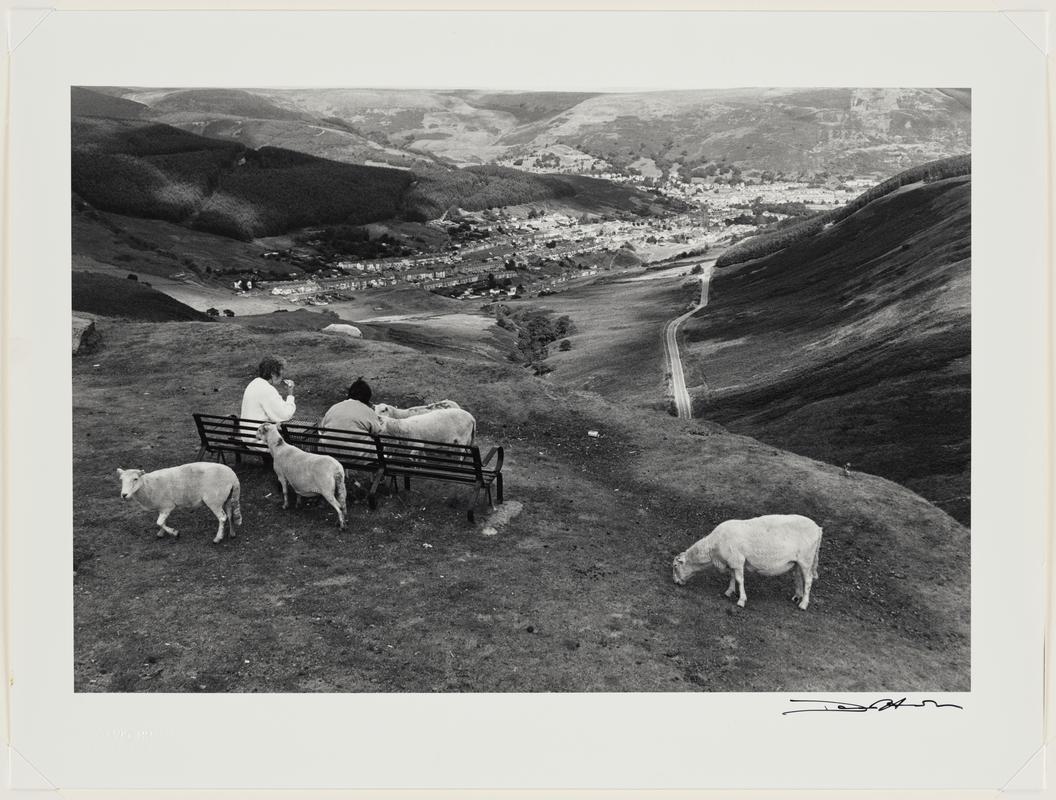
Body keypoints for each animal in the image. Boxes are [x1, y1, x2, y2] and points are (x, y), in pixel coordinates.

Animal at [667, 517, 823, 612]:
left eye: (675, 566)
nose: (675, 582)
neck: (712, 549)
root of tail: (818, 528)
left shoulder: (738, 560)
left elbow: (739, 580)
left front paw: (741, 600)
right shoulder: (732, 561)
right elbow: (731, 576)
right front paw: (729, 591)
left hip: (806, 559)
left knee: (808, 580)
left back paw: (803, 604)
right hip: (797, 562)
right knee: (798, 577)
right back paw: (797, 596)